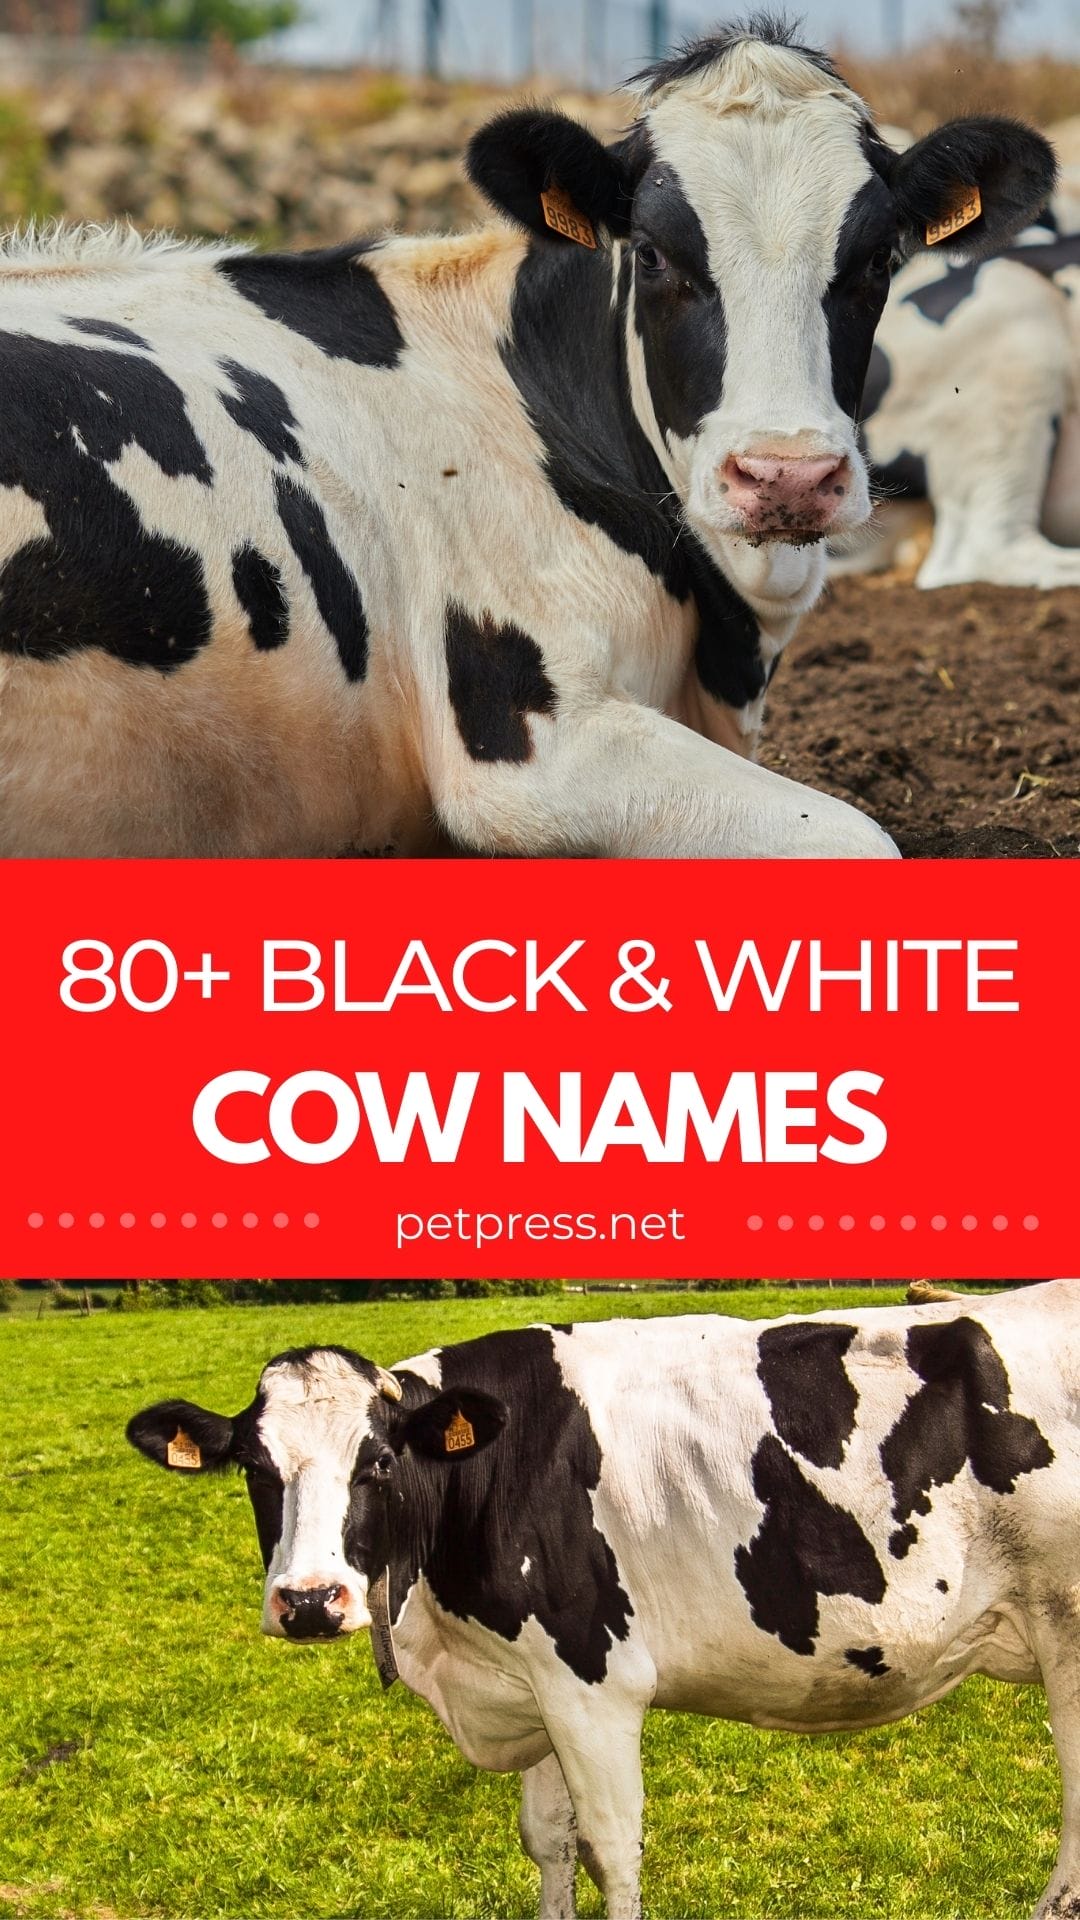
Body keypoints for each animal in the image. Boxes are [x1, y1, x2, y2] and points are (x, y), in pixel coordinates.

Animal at [128, 1281, 1080, 1920]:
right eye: (255, 1468)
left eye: (381, 1461)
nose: (310, 1601)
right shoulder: (535, 1681)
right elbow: (547, 1839)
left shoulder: (593, 1681)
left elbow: (611, 1850)